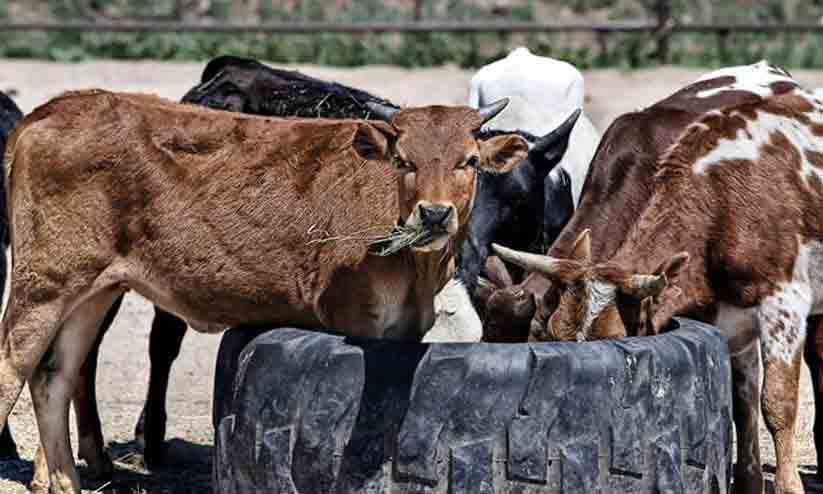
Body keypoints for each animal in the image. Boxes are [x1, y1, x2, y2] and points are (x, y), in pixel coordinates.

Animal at [0, 89, 584, 493]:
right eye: (404, 160)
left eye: (468, 160)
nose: (434, 213)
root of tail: (55, 109)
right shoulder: (356, 320)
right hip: (43, 284)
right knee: (13, 367)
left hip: (92, 291)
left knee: (55, 377)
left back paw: (66, 482)